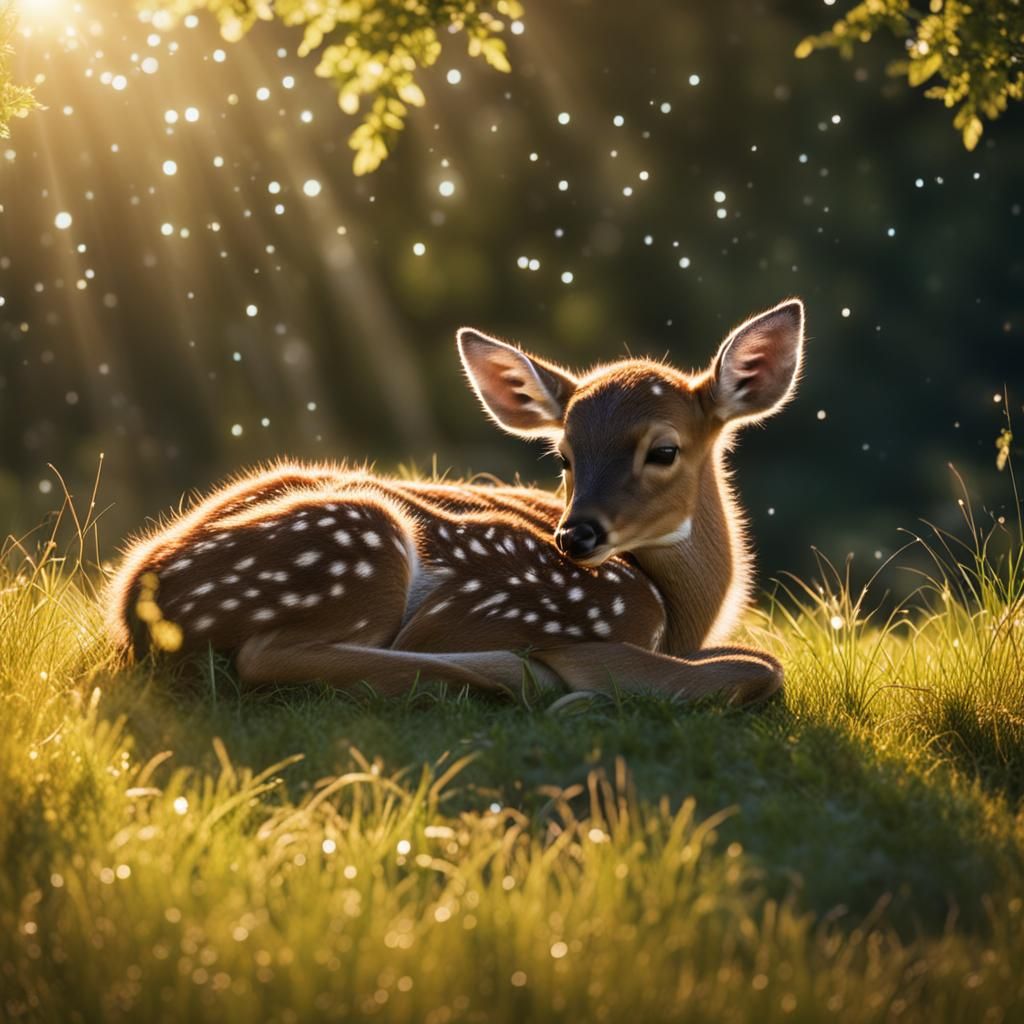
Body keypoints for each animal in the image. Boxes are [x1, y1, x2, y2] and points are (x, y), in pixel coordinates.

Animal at [105, 299, 805, 704]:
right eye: (564, 455)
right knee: (263, 656)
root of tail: (132, 598)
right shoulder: (536, 614)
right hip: (360, 548)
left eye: (663, 450)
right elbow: (759, 666)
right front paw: (578, 687)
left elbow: (761, 660)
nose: (575, 536)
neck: (678, 617)